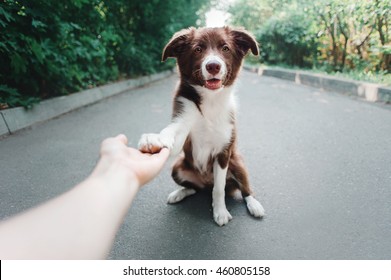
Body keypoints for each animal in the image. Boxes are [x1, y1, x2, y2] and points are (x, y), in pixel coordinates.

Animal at [139, 26, 264, 226]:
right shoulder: (182, 124)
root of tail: (205, 183)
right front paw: (154, 138)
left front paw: (220, 212)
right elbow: (171, 132)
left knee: (244, 189)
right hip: (178, 166)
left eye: (225, 48)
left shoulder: (223, 152)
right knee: (193, 189)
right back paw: (179, 193)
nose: (213, 66)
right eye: (198, 49)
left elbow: (219, 189)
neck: (210, 102)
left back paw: (254, 205)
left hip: (238, 163)